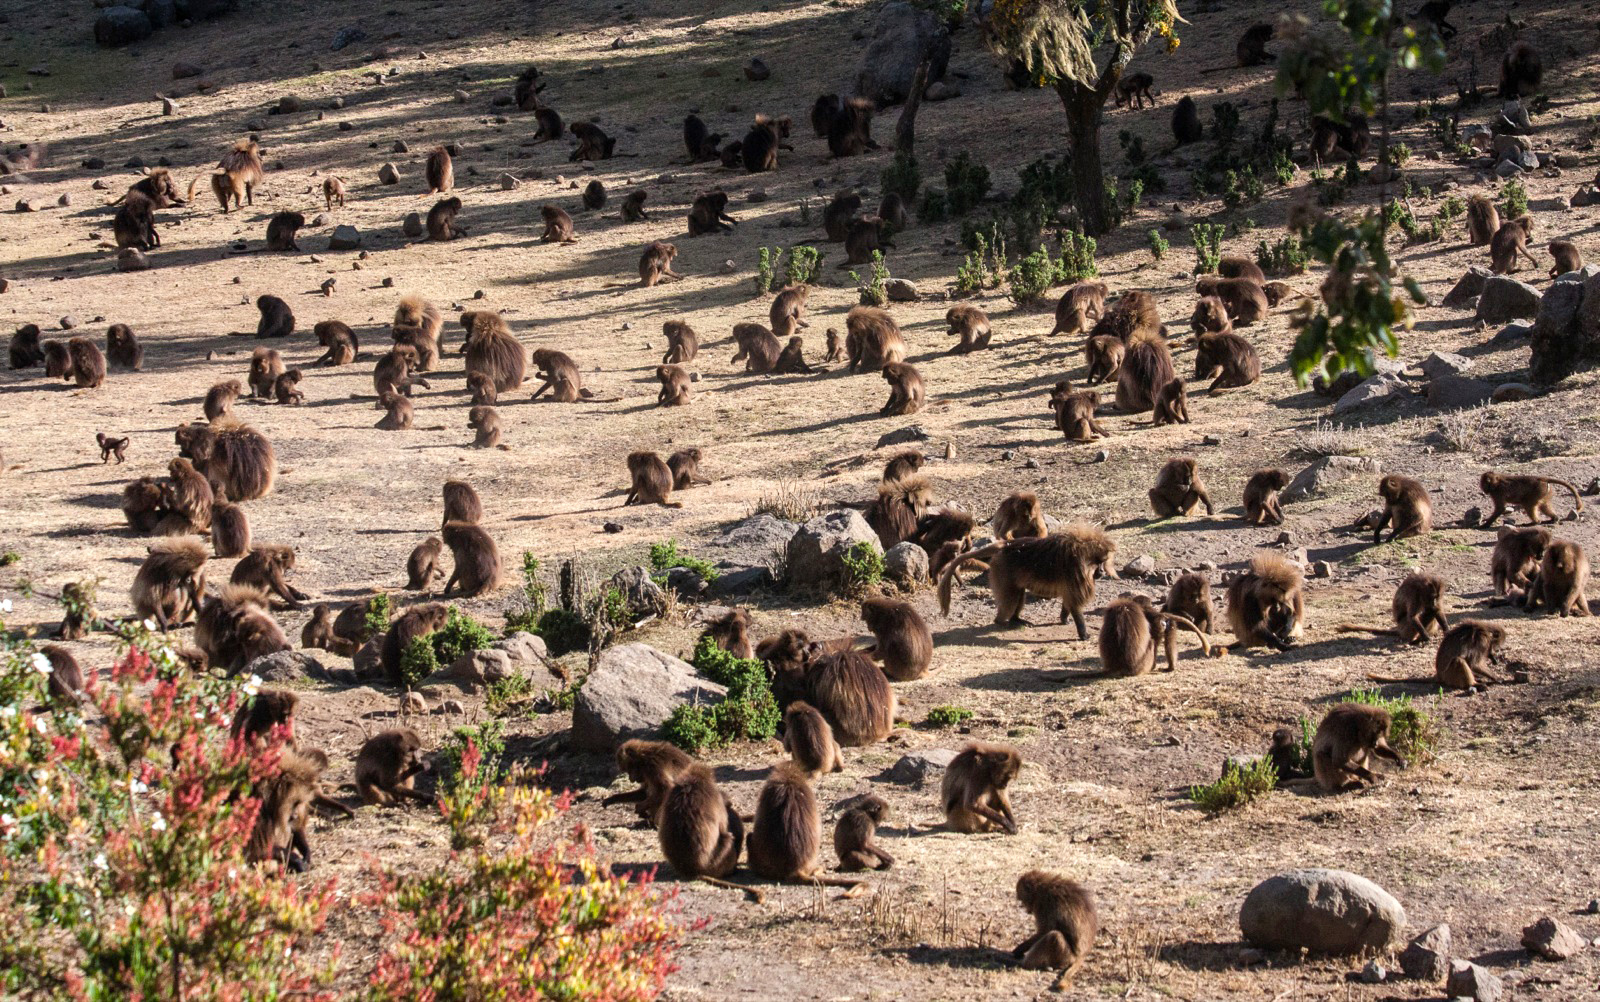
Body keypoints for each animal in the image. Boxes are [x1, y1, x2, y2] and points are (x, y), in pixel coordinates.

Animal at [938, 526, 1117, 640]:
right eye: (1099, 562)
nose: (1101, 572)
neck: (1081, 554)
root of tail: (1004, 546)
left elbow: (1068, 601)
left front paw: (1064, 619)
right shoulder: (1075, 574)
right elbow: (1074, 603)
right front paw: (1083, 634)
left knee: (1018, 593)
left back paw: (1017, 620)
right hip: (1003, 570)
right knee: (1010, 599)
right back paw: (1003, 622)